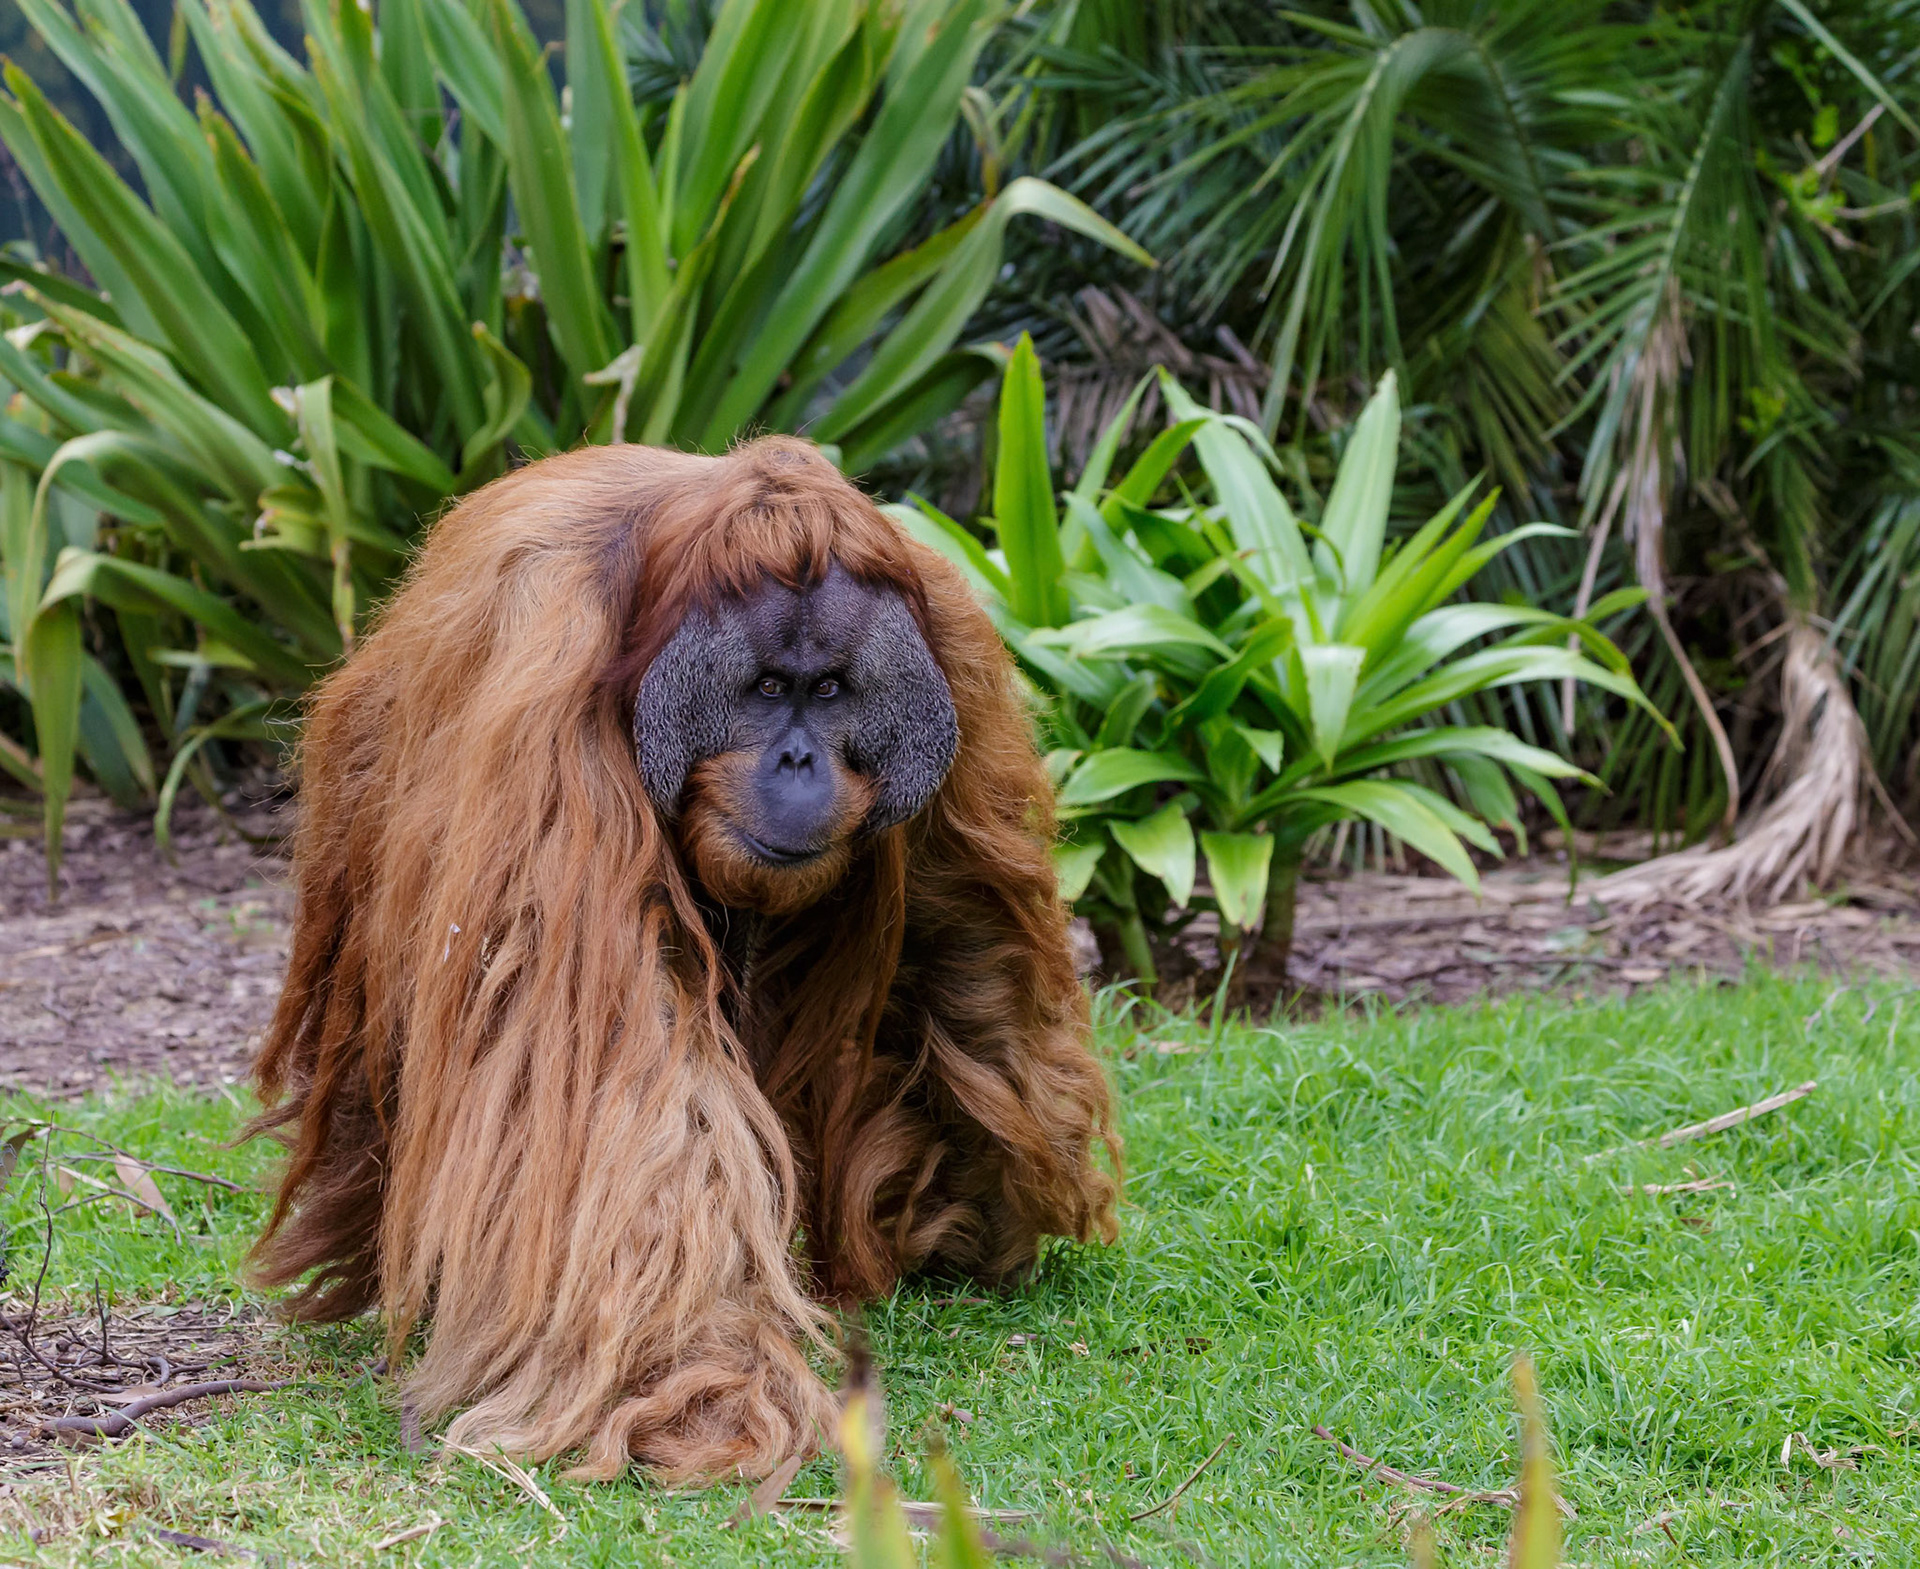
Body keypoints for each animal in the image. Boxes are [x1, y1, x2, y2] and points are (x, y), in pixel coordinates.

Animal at [248, 436, 1120, 1484]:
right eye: (766, 689)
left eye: (831, 689)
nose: (798, 762)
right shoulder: (546, 690)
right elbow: (608, 1064)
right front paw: (710, 1391)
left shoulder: (956, 666)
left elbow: (962, 934)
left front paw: (975, 1220)